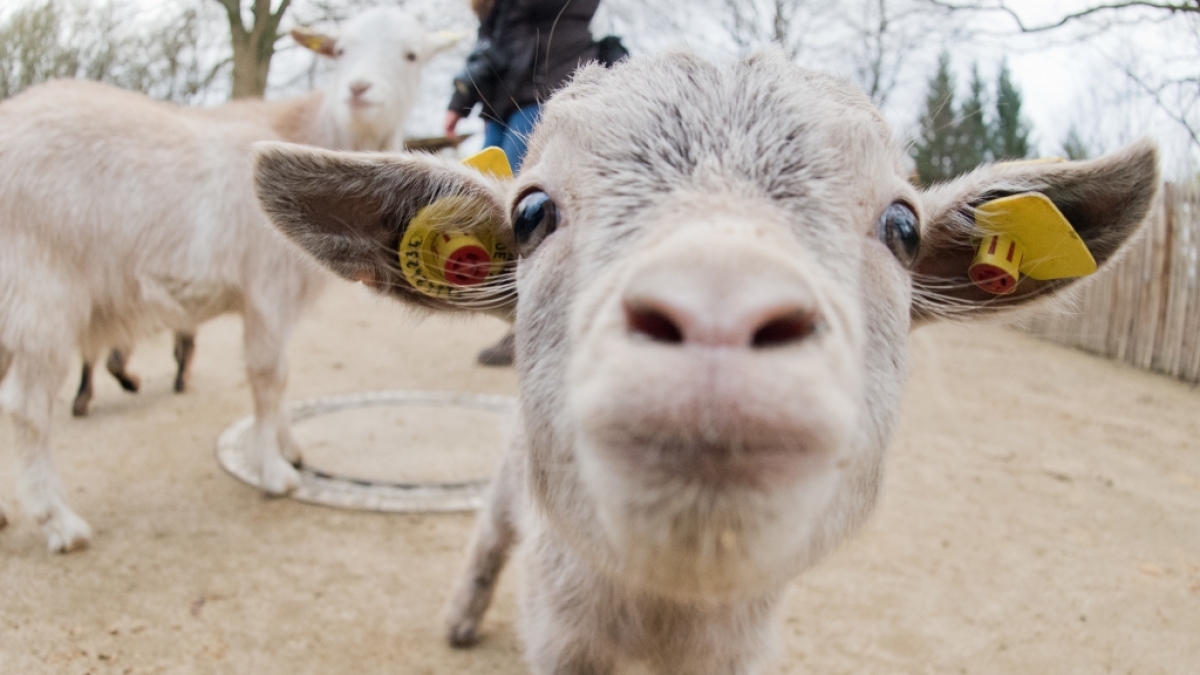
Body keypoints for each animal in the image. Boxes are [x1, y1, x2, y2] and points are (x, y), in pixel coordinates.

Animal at [0, 7, 458, 552]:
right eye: (340, 50)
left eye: (411, 55)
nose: (359, 89)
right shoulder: (267, 284)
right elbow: (268, 375)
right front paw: (275, 472)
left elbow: (282, 376)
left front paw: (287, 447)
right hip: (39, 289)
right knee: (26, 408)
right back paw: (59, 522)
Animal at [252, 49, 1159, 675]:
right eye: (532, 212)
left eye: (903, 227)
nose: (719, 314)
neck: (668, 609)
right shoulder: (560, 628)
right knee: (490, 529)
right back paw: (462, 617)